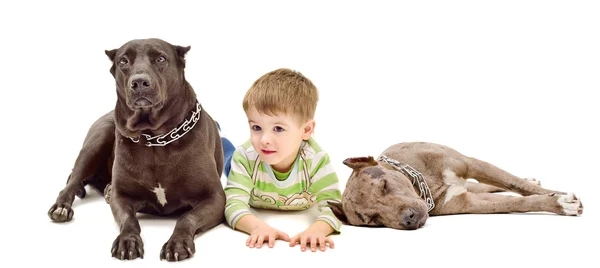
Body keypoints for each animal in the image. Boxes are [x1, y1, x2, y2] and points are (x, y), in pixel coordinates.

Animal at [47, 38, 225, 260]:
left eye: (160, 58)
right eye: (123, 61)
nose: (139, 82)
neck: (155, 139)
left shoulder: (215, 198)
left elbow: (186, 217)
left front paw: (177, 243)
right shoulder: (122, 197)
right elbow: (128, 220)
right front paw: (127, 241)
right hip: (97, 140)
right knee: (72, 180)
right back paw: (62, 207)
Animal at [328, 142, 580, 230]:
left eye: (385, 185)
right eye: (372, 220)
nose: (408, 219)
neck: (427, 184)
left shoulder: (471, 164)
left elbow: (514, 183)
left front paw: (559, 197)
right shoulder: (467, 202)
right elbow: (516, 202)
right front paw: (557, 202)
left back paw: (532, 180)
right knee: (481, 188)